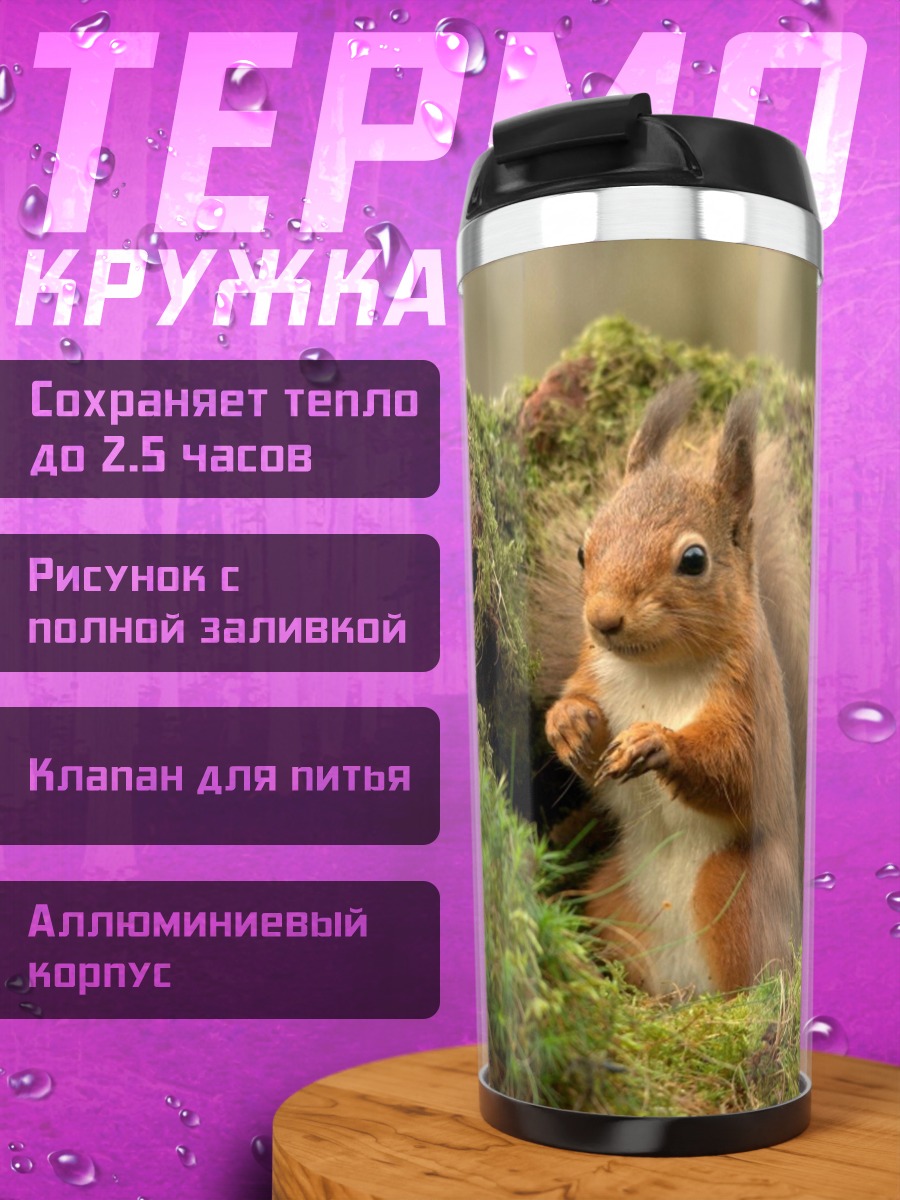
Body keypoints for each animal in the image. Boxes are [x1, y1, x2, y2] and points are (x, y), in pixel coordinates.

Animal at [542, 379, 805, 997]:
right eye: (583, 550)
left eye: (693, 559)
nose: (603, 619)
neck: (656, 671)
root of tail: (682, 986)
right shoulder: (594, 672)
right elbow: (581, 721)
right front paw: (568, 723)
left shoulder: (749, 702)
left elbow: (736, 770)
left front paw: (657, 743)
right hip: (613, 896)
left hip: (734, 891)